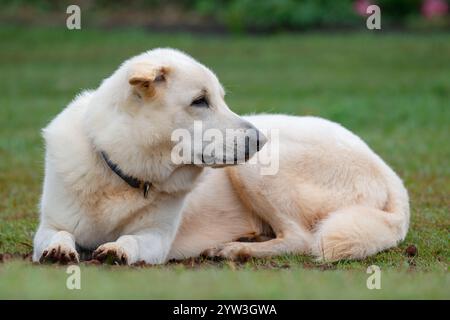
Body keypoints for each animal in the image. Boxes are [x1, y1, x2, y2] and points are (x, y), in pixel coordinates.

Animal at [33, 47, 410, 264]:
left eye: (220, 99)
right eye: (200, 101)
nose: (260, 140)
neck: (122, 173)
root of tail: (389, 174)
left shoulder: (156, 239)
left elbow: (131, 240)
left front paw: (117, 249)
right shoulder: (48, 226)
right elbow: (58, 235)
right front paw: (60, 250)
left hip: (255, 171)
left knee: (301, 239)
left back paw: (234, 249)